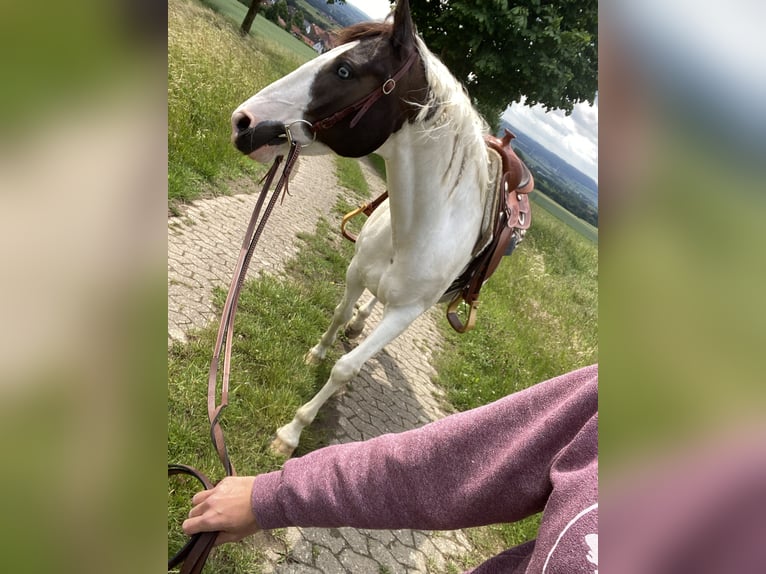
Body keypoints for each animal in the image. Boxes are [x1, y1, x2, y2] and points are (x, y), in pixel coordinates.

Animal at [230, 0, 532, 456]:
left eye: (345, 71)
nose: (243, 121)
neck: (417, 232)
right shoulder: (356, 270)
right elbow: (337, 315)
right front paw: (318, 350)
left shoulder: (406, 315)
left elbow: (346, 369)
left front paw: (290, 433)